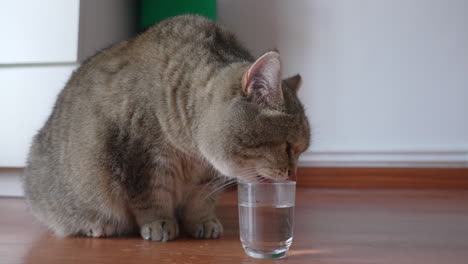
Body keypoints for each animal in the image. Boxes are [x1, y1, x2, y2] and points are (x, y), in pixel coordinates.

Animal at [22, 14, 308, 241]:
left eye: (301, 150)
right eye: (288, 146)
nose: (294, 173)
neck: (193, 149)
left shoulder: (205, 175)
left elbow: (200, 202)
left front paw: (203, 222)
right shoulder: (142, 158)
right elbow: (151, 198)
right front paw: (159, 223)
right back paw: (97, 226)